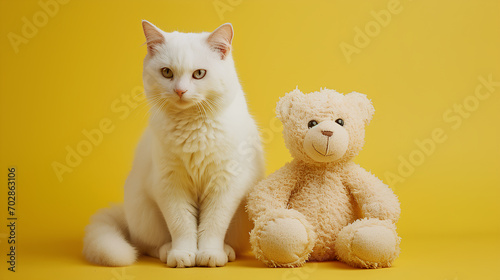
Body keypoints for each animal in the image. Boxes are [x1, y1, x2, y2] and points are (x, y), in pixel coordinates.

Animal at [84, 21, 266, 266]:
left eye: (199, 74)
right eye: (167, 72)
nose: (180, 90)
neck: (192, 127)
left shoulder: (225, 183)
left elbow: (213, 225)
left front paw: (209, 253)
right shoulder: (170, 185)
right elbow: (182, 225)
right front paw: (182, 254)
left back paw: (226, 251)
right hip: (144, 215)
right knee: (148, 244)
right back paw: (166, 250)